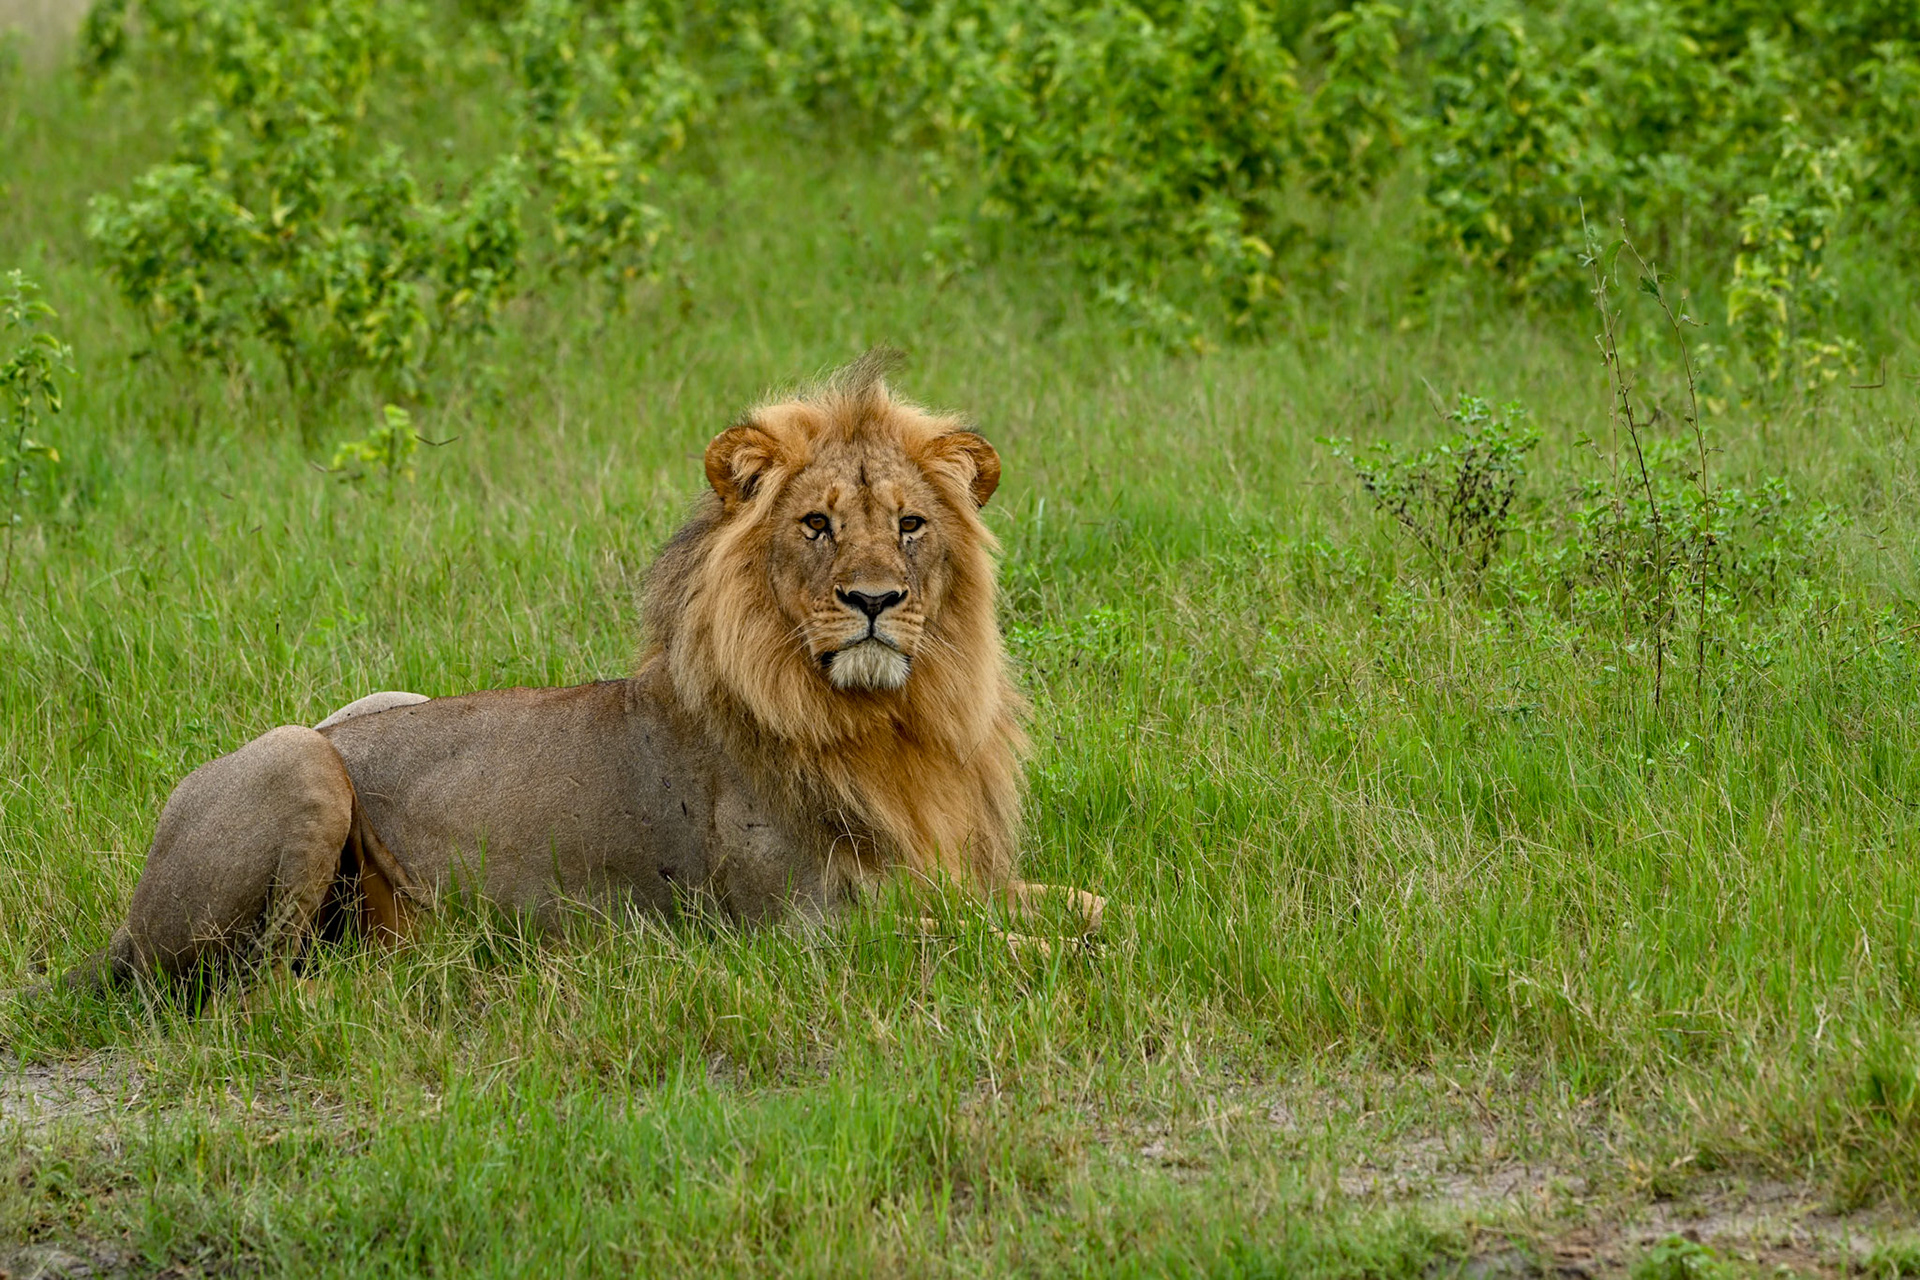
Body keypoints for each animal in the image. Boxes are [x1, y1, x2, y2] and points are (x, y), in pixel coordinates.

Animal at [54, 355, 1102, 992]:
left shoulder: (942, 875)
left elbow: (1078, 904)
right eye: (817, 524)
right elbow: (984, 948)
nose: (876, 599)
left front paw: (1104, 919)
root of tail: (122, 928)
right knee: (257, 981)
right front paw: (1072, 956)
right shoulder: (797, 932)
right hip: (297, 759)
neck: (888, 722)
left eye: (911, 524)